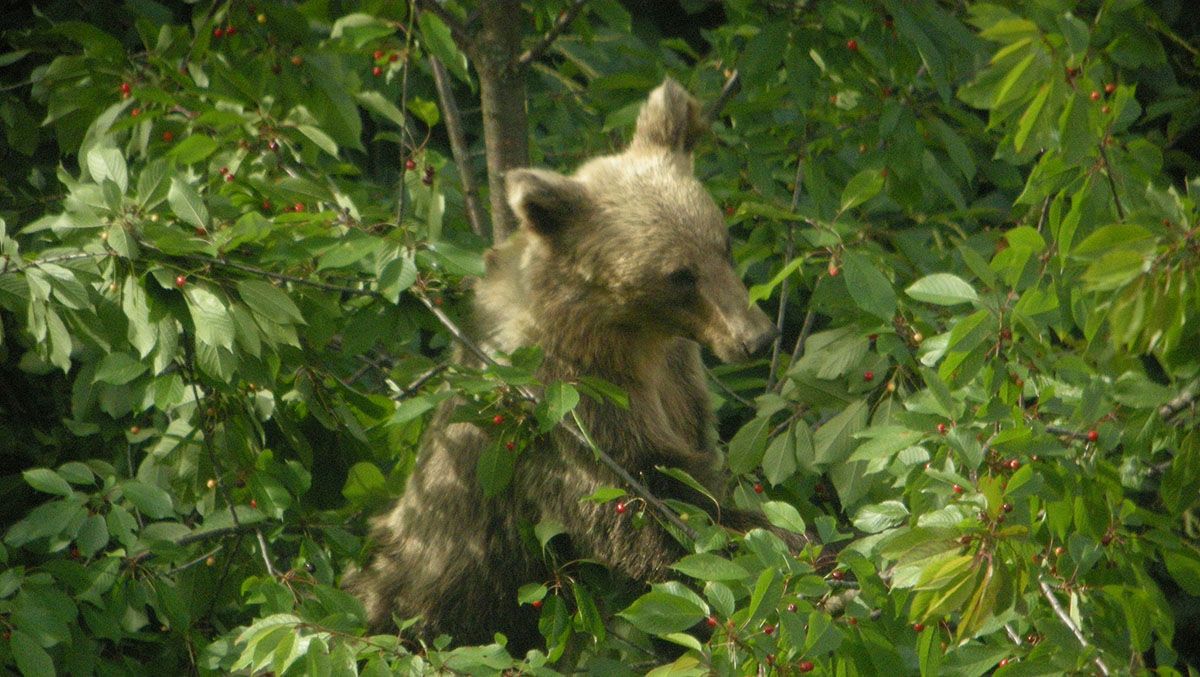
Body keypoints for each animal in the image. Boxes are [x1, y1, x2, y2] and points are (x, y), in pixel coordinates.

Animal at [346, 79, 781, 652]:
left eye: (723, 245)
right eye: (679, 275)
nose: (755, 337)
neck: (626, 335)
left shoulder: (678, 379)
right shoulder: (570, 405)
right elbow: (649, 506)